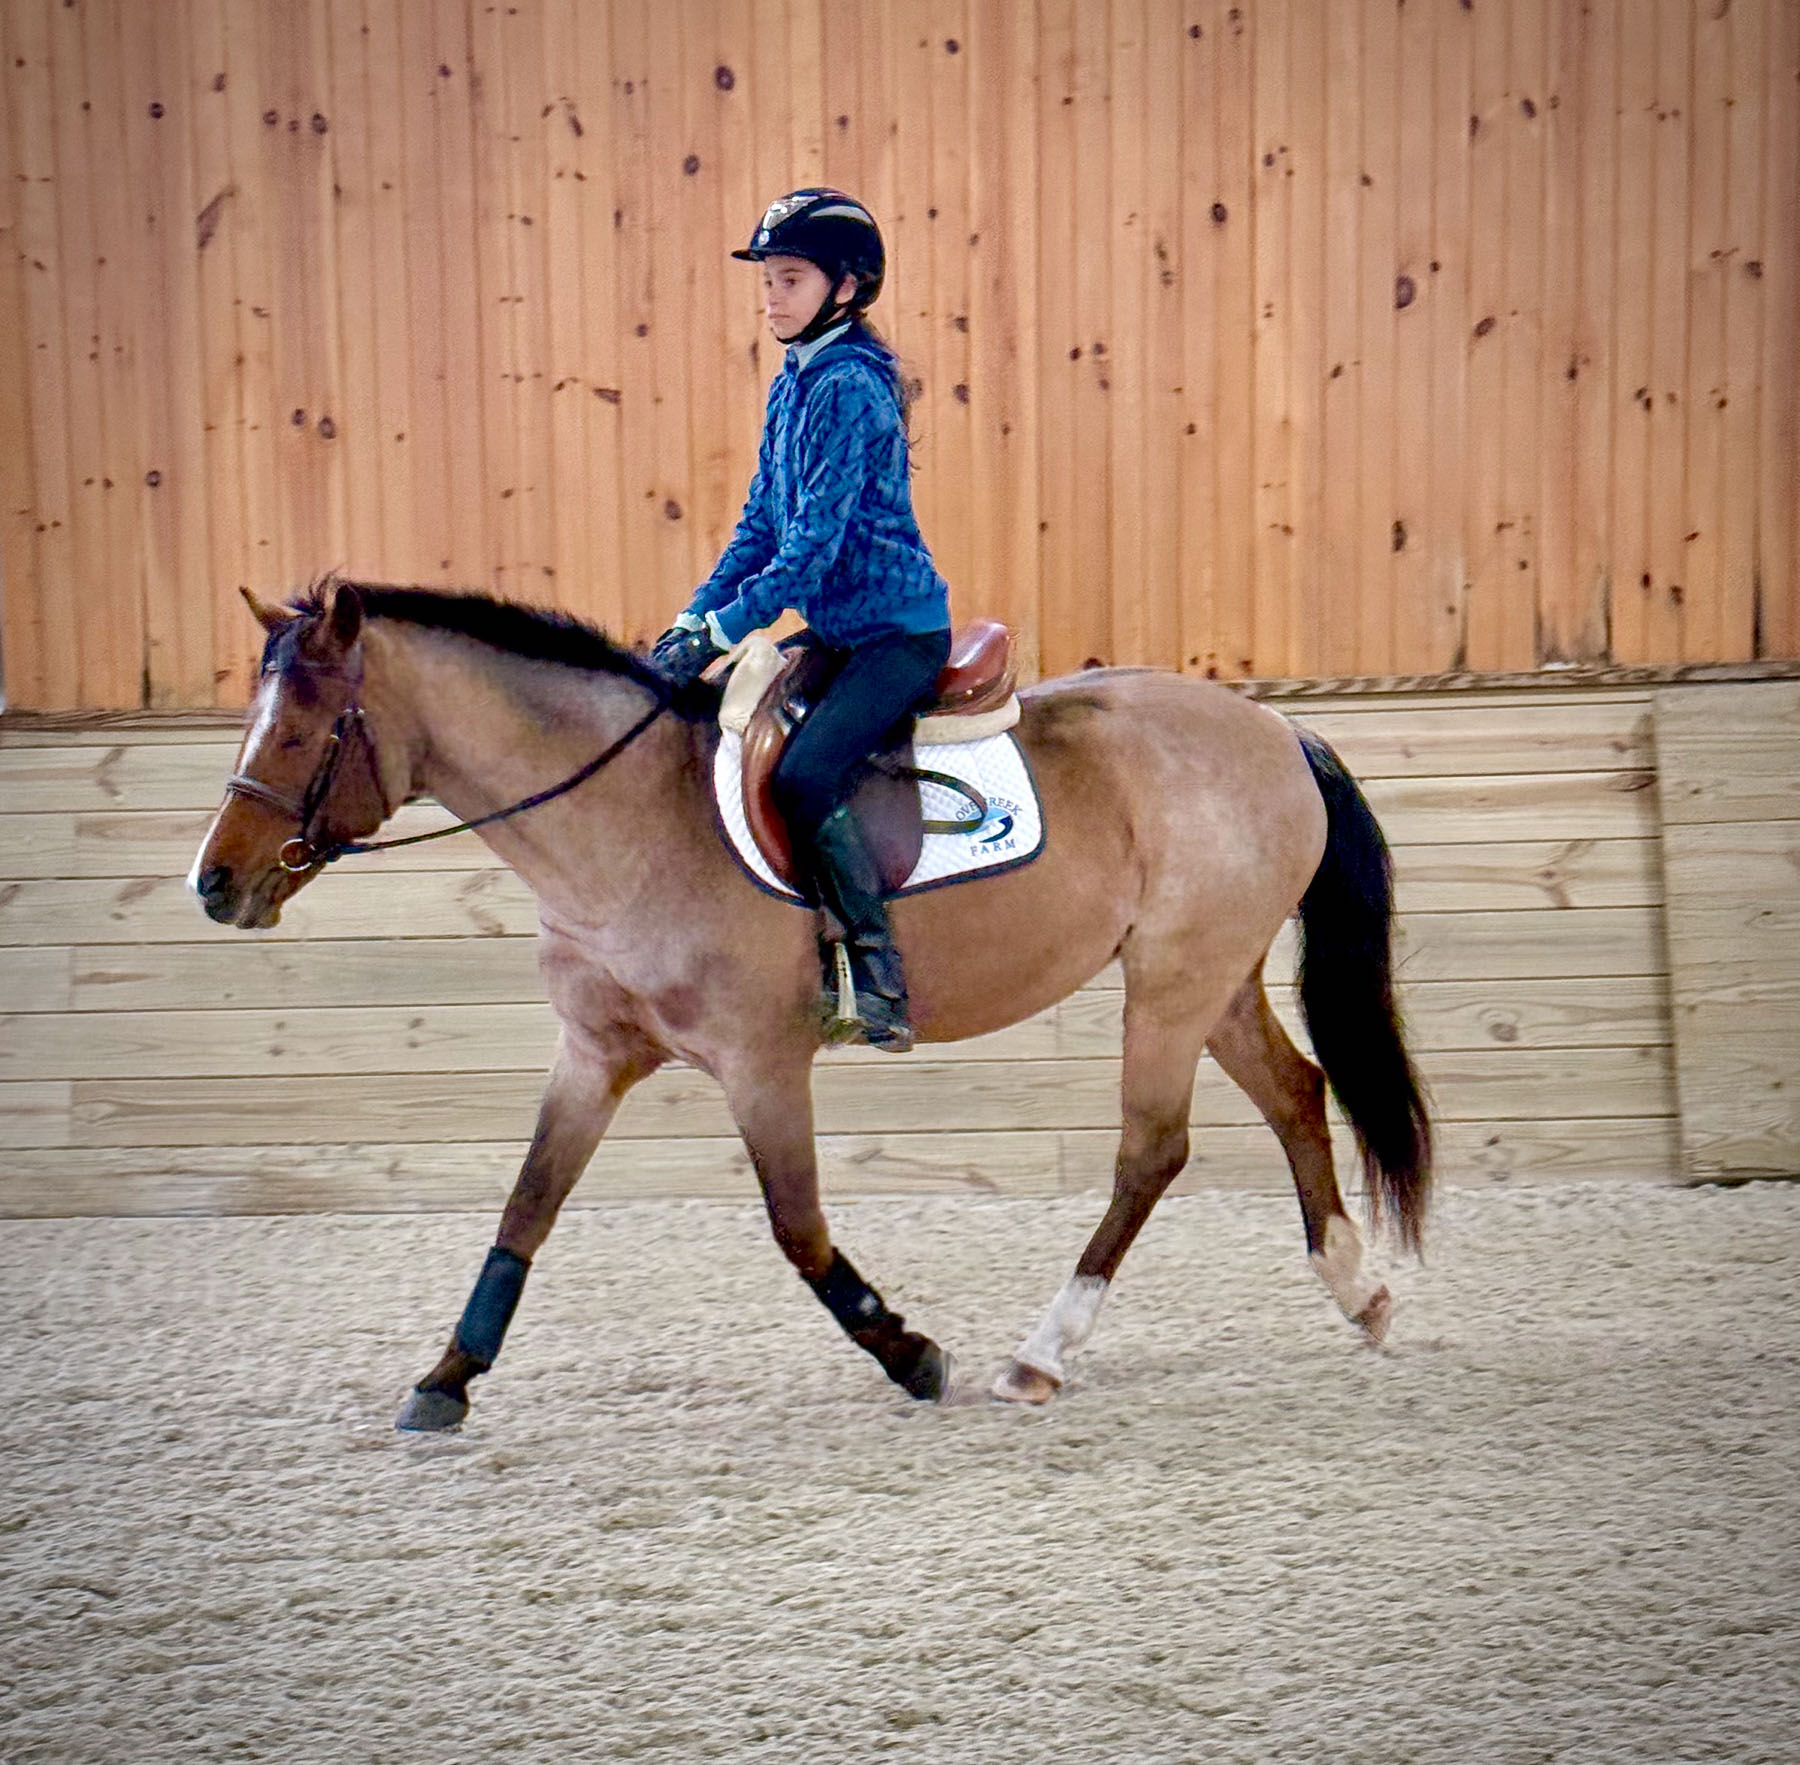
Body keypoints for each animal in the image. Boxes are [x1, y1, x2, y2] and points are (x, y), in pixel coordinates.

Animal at [189, 579, 1431, 1428]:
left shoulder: (761, 1063)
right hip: (1209, 976)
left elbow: (797, 1227)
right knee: (1294, 1092)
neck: (631, 819)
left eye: (298, 732)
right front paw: (447, 1377)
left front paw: (910, 1351)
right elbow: (525, 1206)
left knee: (1152, 1150)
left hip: (1172, 982)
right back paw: (1358, 1292)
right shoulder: (592, 1053)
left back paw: (1043, 1350)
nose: (215, 883)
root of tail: (1277, 729)